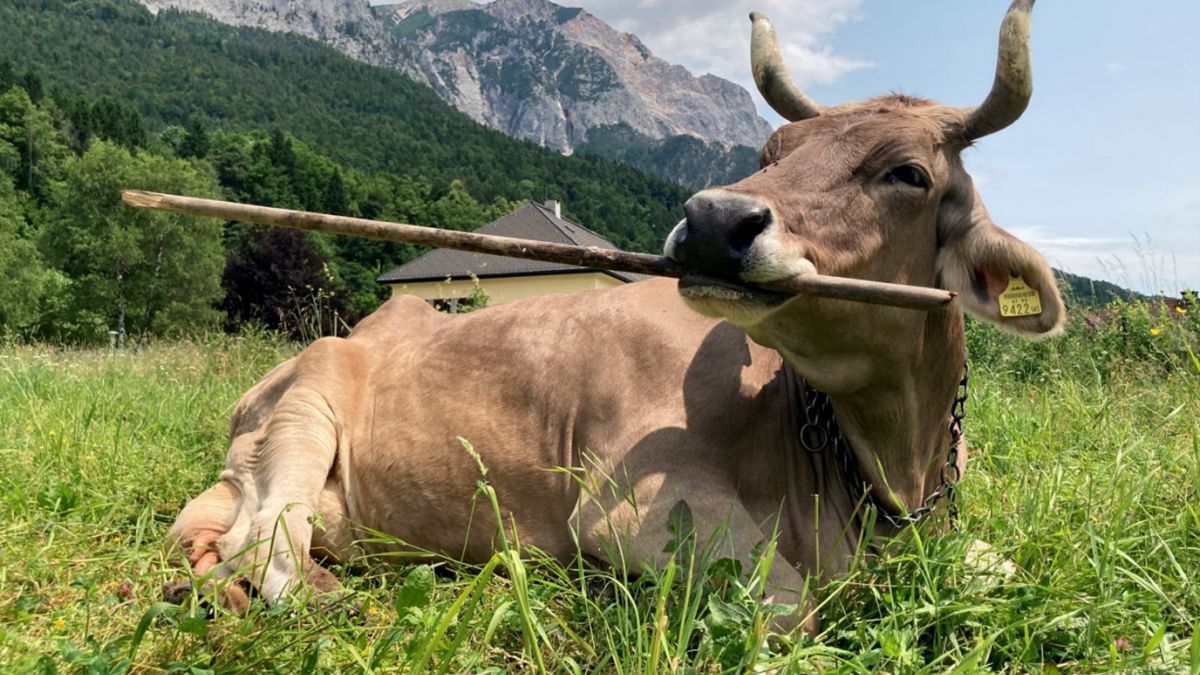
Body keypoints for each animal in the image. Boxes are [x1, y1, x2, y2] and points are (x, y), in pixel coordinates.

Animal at [165, 0, 1063, 634]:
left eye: (909, 173)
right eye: (771, 154)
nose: (712, 220)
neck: (884, 466)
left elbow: (1013, 573)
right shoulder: (636, 507)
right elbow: (791, 607)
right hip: (308, 403)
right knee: (266, 544)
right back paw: (315, 591)